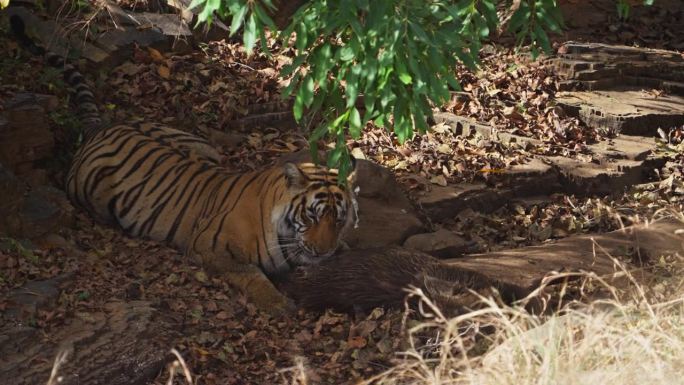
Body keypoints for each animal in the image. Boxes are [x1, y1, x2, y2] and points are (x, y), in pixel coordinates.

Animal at [10, 13, 360, 314]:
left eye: (339, 219)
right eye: (312, 217)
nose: (323, 252)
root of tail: (102, 126)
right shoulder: (211, 247)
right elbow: (252, 275)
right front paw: (278, 303)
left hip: (199, 145)